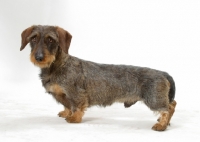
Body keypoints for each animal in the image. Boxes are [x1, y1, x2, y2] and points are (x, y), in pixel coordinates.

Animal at [19, 25, 177, 131]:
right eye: (33, 38)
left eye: (50, 40)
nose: (39, 57)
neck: (57, 65)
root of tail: (163, 73)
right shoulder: (62, 95)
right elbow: (67, 105)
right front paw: (66, 112)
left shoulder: (76, 93)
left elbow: (76, 106)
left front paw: (74, 118)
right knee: (172, 103)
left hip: (154, 99)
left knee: (169, 107)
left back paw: (161, 124)